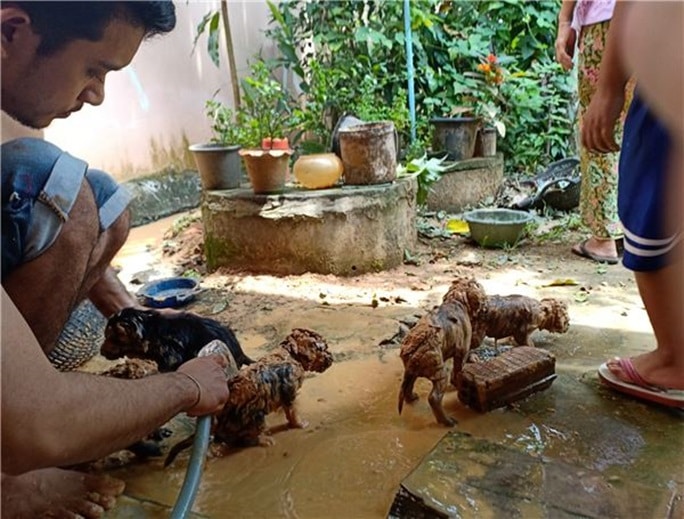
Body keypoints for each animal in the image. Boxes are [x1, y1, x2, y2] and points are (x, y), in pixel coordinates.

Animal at [166, 330, 336, 468]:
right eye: (323, 348)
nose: (331, 358)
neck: (290, 355)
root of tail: (218, 420)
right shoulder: (289, 392)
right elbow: (293, 412)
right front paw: (300, 424)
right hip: (255, 415)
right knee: (246, 439)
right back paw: (265, 440)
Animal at [396, 276, 486, 426]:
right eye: (478, 285)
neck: (456, 300)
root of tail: (418, 347)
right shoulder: (462, 352)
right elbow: (458, 370)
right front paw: (457, 383)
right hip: (441, 373)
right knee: (434, 398)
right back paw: (446, 421)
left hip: (410, 370)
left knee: (408, 385)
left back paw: (412, 398)